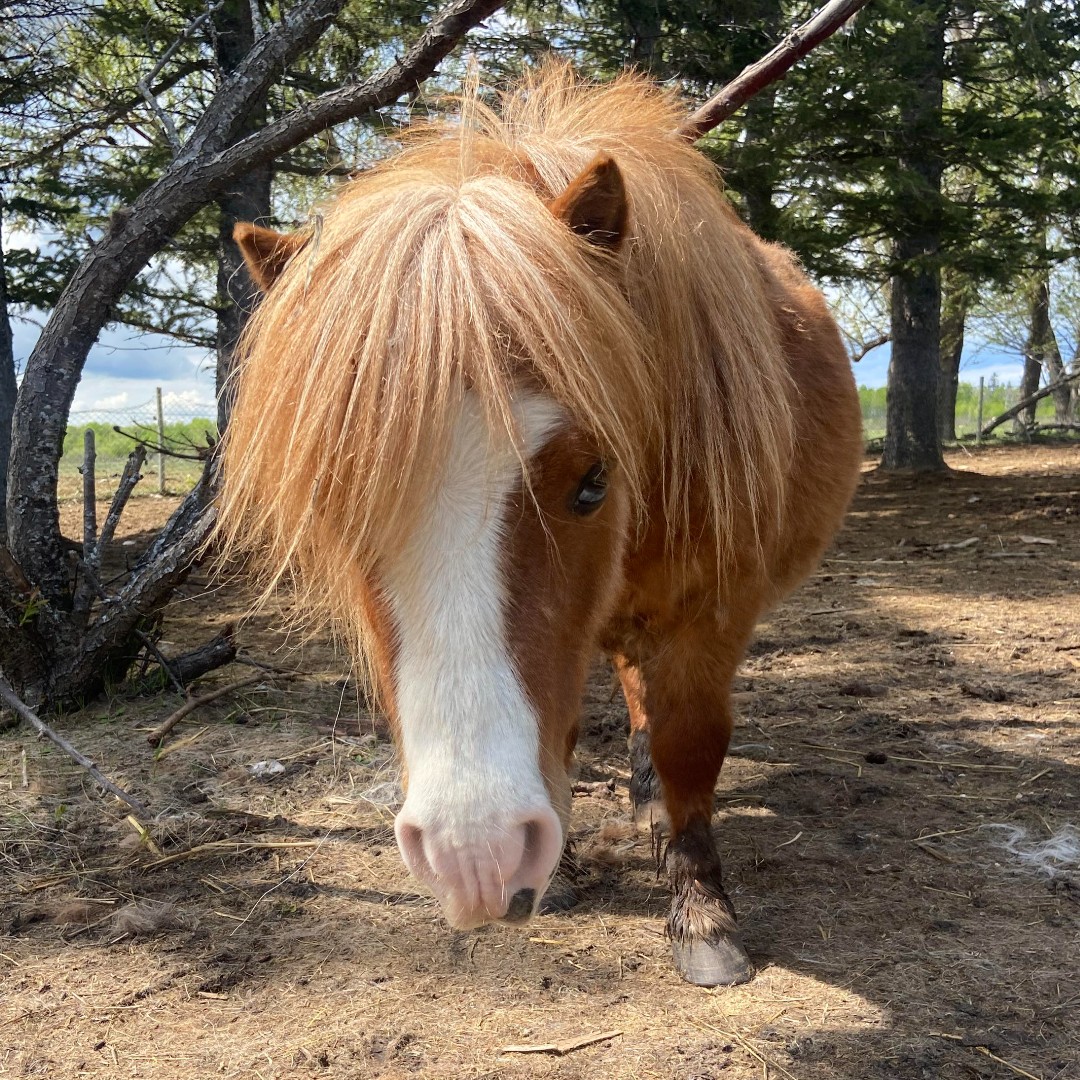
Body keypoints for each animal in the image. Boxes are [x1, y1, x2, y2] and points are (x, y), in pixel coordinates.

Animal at [215, 63, 863, 987]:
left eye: (593, 481)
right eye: (336, 505)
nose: (473, 858)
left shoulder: (710, 614)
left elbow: (689, 744)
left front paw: (702, 914)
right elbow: (571, 733)